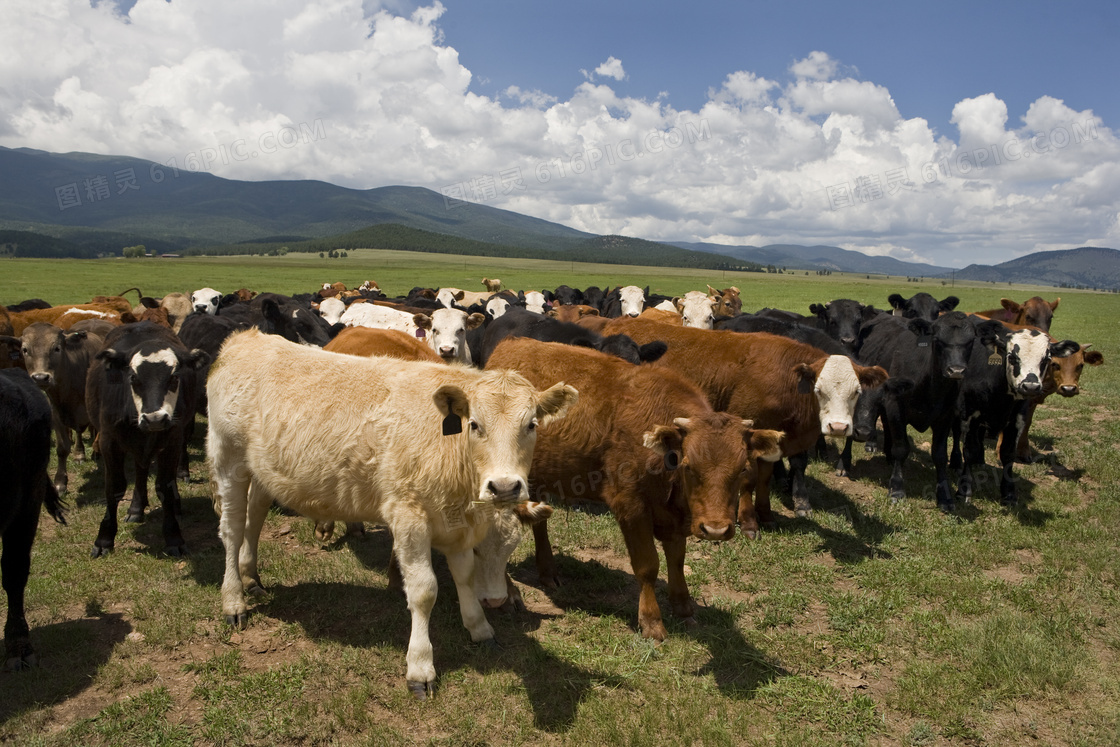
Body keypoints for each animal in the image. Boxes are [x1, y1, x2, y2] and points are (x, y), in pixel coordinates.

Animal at [86, 324, 209, 557]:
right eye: (133, 378)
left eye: (174, 377)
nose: (155, 419)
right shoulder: (108, 441)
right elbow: (114, 488)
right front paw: (104, 539)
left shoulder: (172, 440)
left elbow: (165, 487)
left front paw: (173, 536)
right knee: (140, 470)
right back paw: (136, 508)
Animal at [207, 329, 577, 698]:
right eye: (475, 424)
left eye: (531, 425)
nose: (503, 487)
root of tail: (247, 338)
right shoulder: (409, 517)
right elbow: (424, 590)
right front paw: (420, 666)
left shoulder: (456, 524)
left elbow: (463, 576)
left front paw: (479, 627)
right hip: (229, 457)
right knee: (232, 527)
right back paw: (234, 601)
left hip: (262, 470)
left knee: (254, 516)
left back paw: (251, 576)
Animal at [486, 335, 784, 640]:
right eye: (688, 466)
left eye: (742, 468)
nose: (715, 530)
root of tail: (510, 343)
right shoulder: (631, 506)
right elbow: (647, 566)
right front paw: (651, 621)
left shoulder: (675, 516)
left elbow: (677, 559)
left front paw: (683, 607)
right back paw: (509, 595)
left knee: (539, 525)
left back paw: (548, 573)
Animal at [600, 318, 887, 535]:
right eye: (819, 389)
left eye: (856, 392)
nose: (838, 427)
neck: (785, 378)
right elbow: (749, 479)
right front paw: (749, 522)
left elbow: (765, 477)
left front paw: (766, 514)